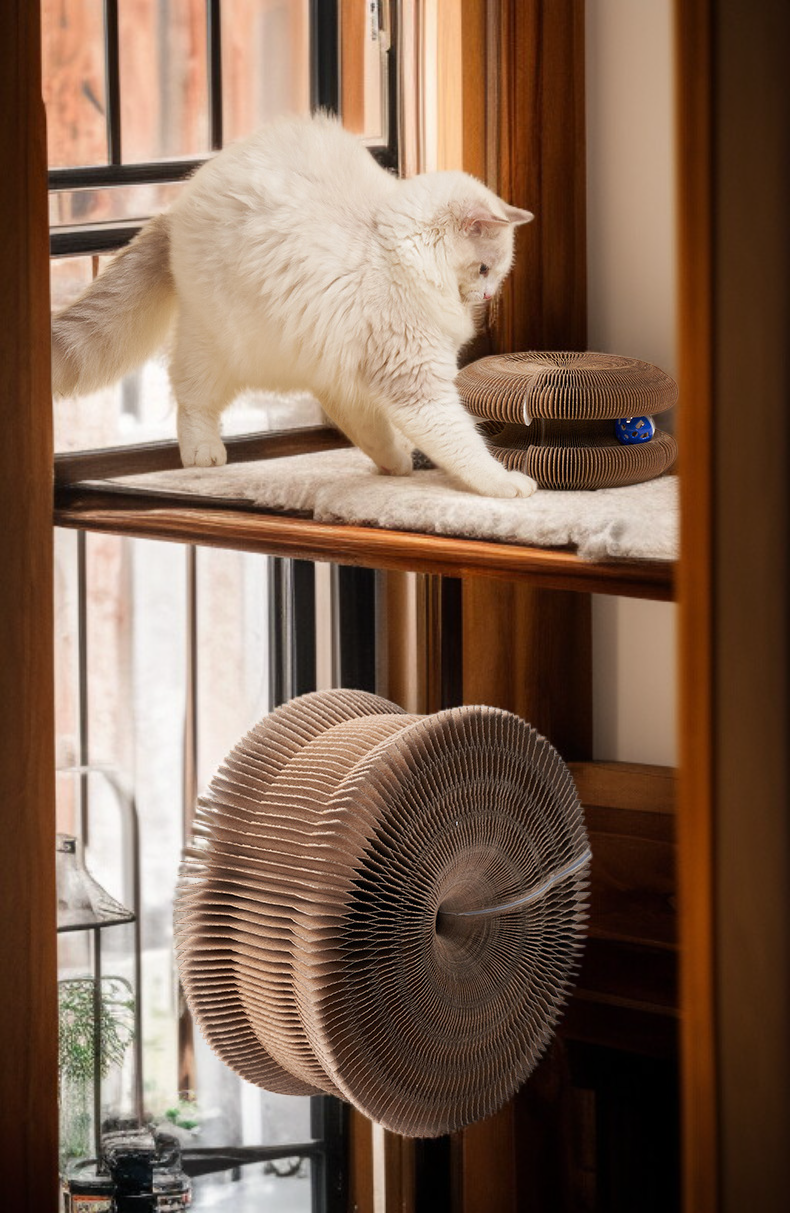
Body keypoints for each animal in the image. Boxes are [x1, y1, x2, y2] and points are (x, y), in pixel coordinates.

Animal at [52, 113, 537, 499]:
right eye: (484, 269)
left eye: (496, 274)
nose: (488, 296)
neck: (393, 247)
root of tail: (177, 207)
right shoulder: (417, 383)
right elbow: (463, 444)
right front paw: (507, 484)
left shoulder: (359, 373)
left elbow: (375, 428)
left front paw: (398, 463)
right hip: (220, 345)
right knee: (191, 396)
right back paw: (203, 453)